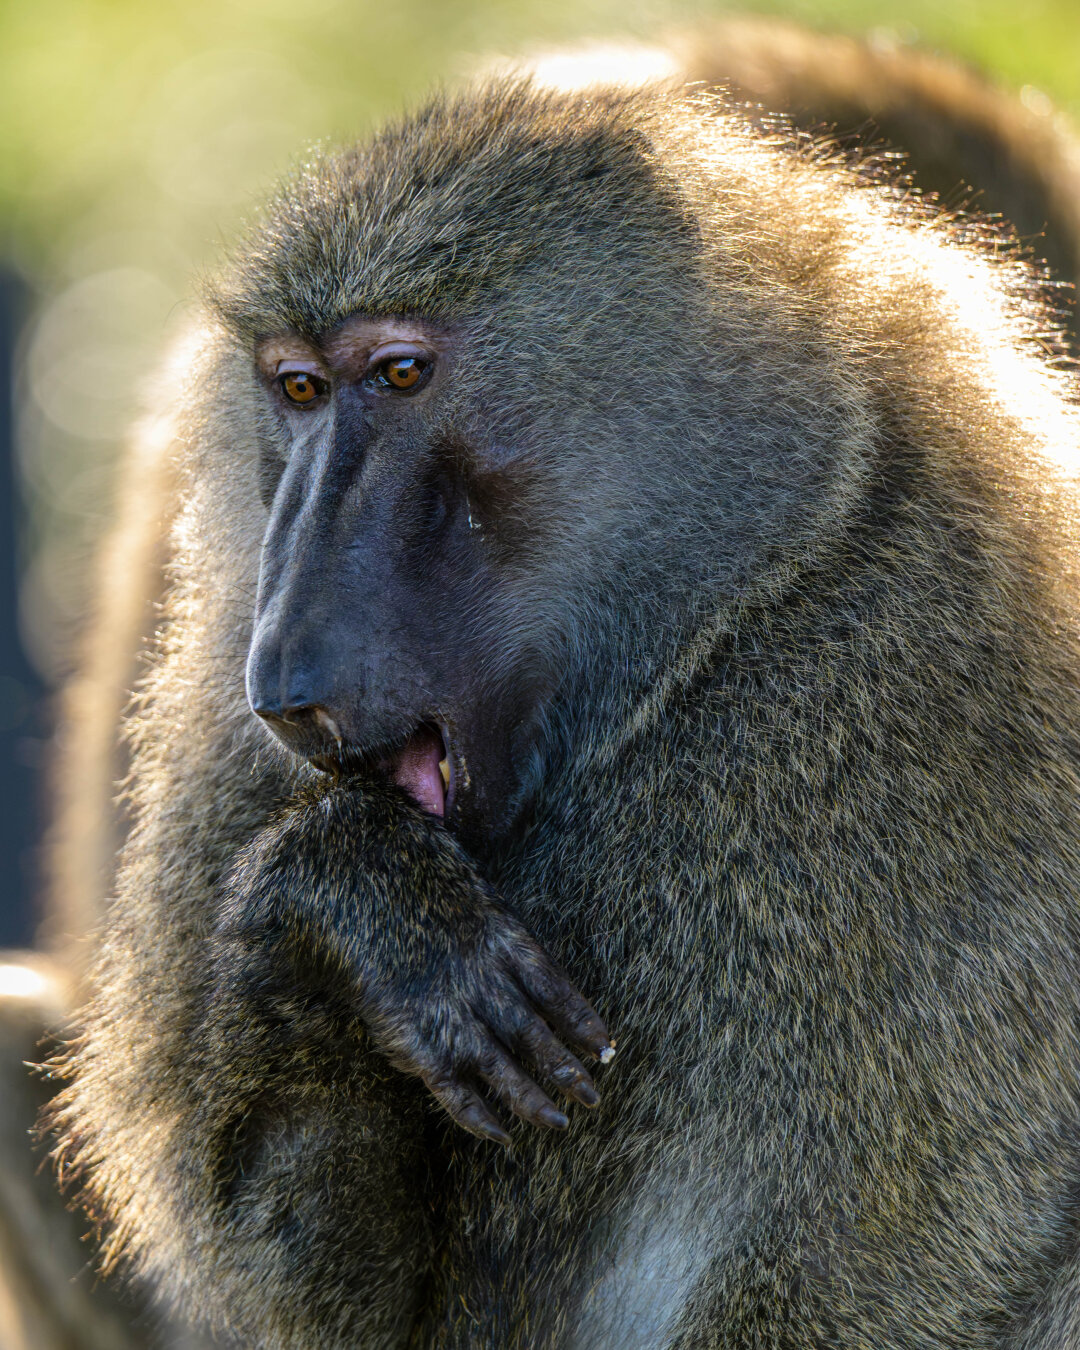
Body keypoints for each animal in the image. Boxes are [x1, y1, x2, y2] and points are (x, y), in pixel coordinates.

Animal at [41, 70, 1080, 1350]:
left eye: (400, 374)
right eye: (297, 389)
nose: (282, 686)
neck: (694, 650)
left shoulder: (940, 671)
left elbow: (900, 1242)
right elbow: (340, 1310)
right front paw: (364, 909)